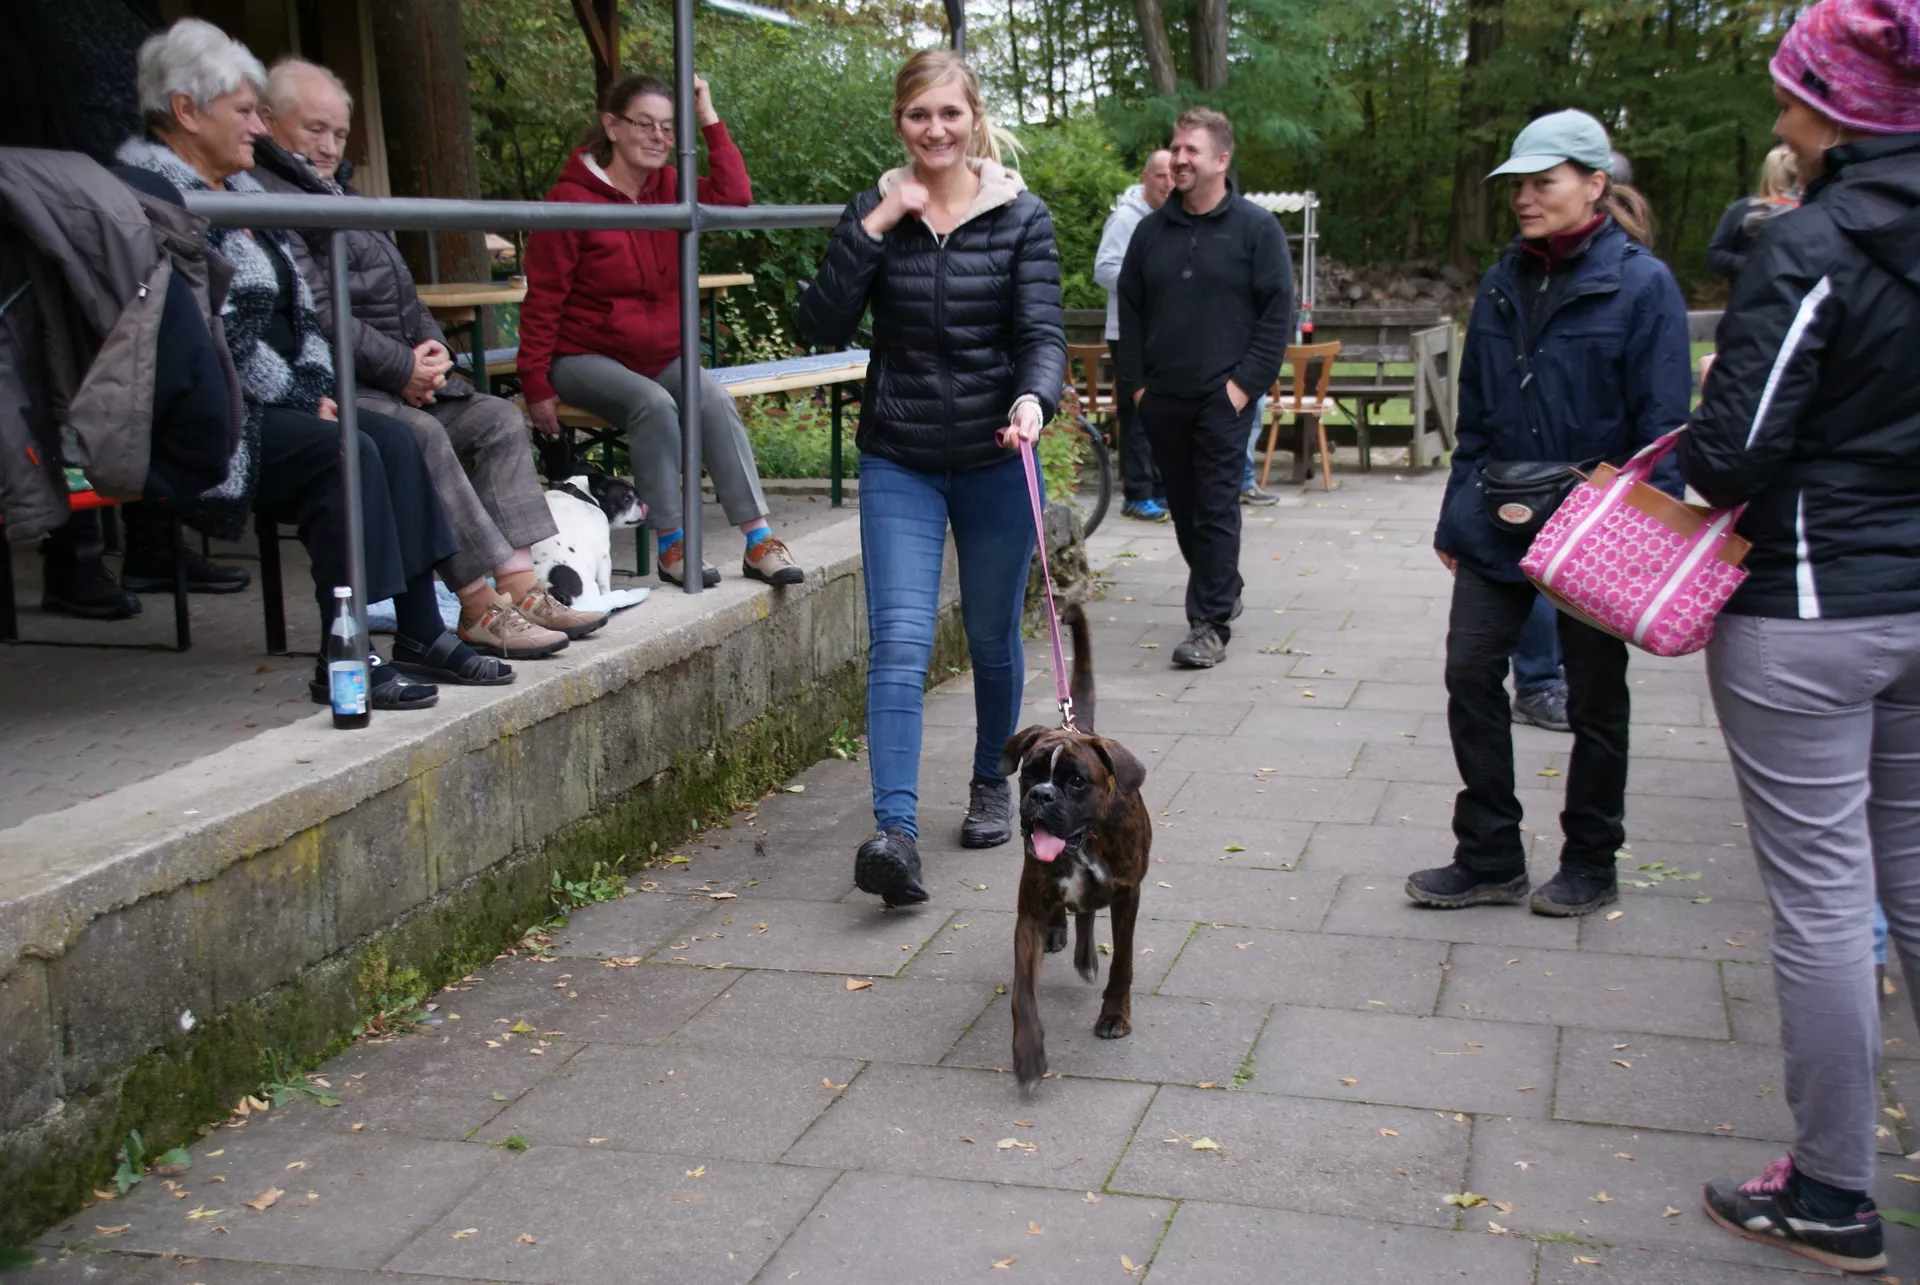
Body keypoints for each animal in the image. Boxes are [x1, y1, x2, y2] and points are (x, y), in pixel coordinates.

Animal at [529, 471, 646, 606]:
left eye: (638, 495)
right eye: (627, 500)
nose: (642, 504)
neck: (581, 494)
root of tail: (552, 589)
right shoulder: (604, 557)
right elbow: (604, 585)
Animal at [1000, 601, 1150, 1090]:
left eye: (1077, 781)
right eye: (1029, 772)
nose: (1041, 796)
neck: (1085, 844)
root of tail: (1076, 725)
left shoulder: (1127, 896)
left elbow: (1123, 962)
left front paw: (1115, 1016)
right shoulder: (1028, 913)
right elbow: (1022, 993)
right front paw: (1029, 1055)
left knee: (1086, 911)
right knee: (1075, 910)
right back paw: (1062, 933)